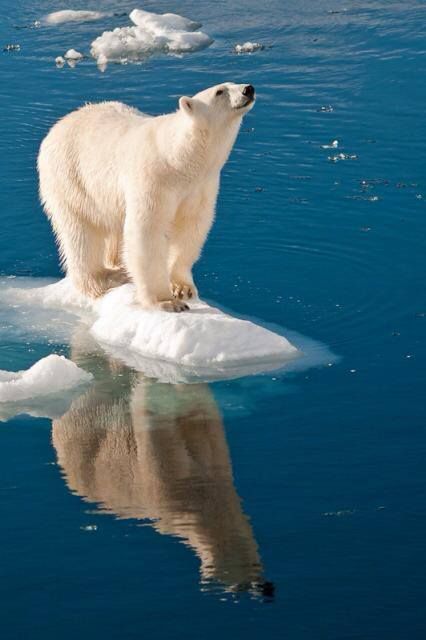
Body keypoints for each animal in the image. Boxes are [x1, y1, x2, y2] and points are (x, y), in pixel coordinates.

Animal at [38, 82, 255, 312]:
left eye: (235, 83)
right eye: (220, 91)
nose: (248, 89)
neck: (180, 160)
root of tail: (57, 127)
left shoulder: (200, 186)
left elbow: (191, 227)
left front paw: (182, 288)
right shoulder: (154, 179)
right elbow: (148, 231)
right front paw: (167, 301)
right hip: (71, 179)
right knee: (81, 232)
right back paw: (101, 280)